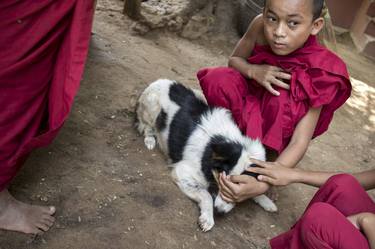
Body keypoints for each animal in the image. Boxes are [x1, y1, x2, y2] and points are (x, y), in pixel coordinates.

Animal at [137, 79, 278, 231]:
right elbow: (206, 195)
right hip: (151, 106)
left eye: (237, 190)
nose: (219, 211)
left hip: (197, 93)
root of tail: (159, 81)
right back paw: (150, 139)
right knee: (146, 126)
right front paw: (208, 218)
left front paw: (266, 201)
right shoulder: (182, 172)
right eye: (223, 182)